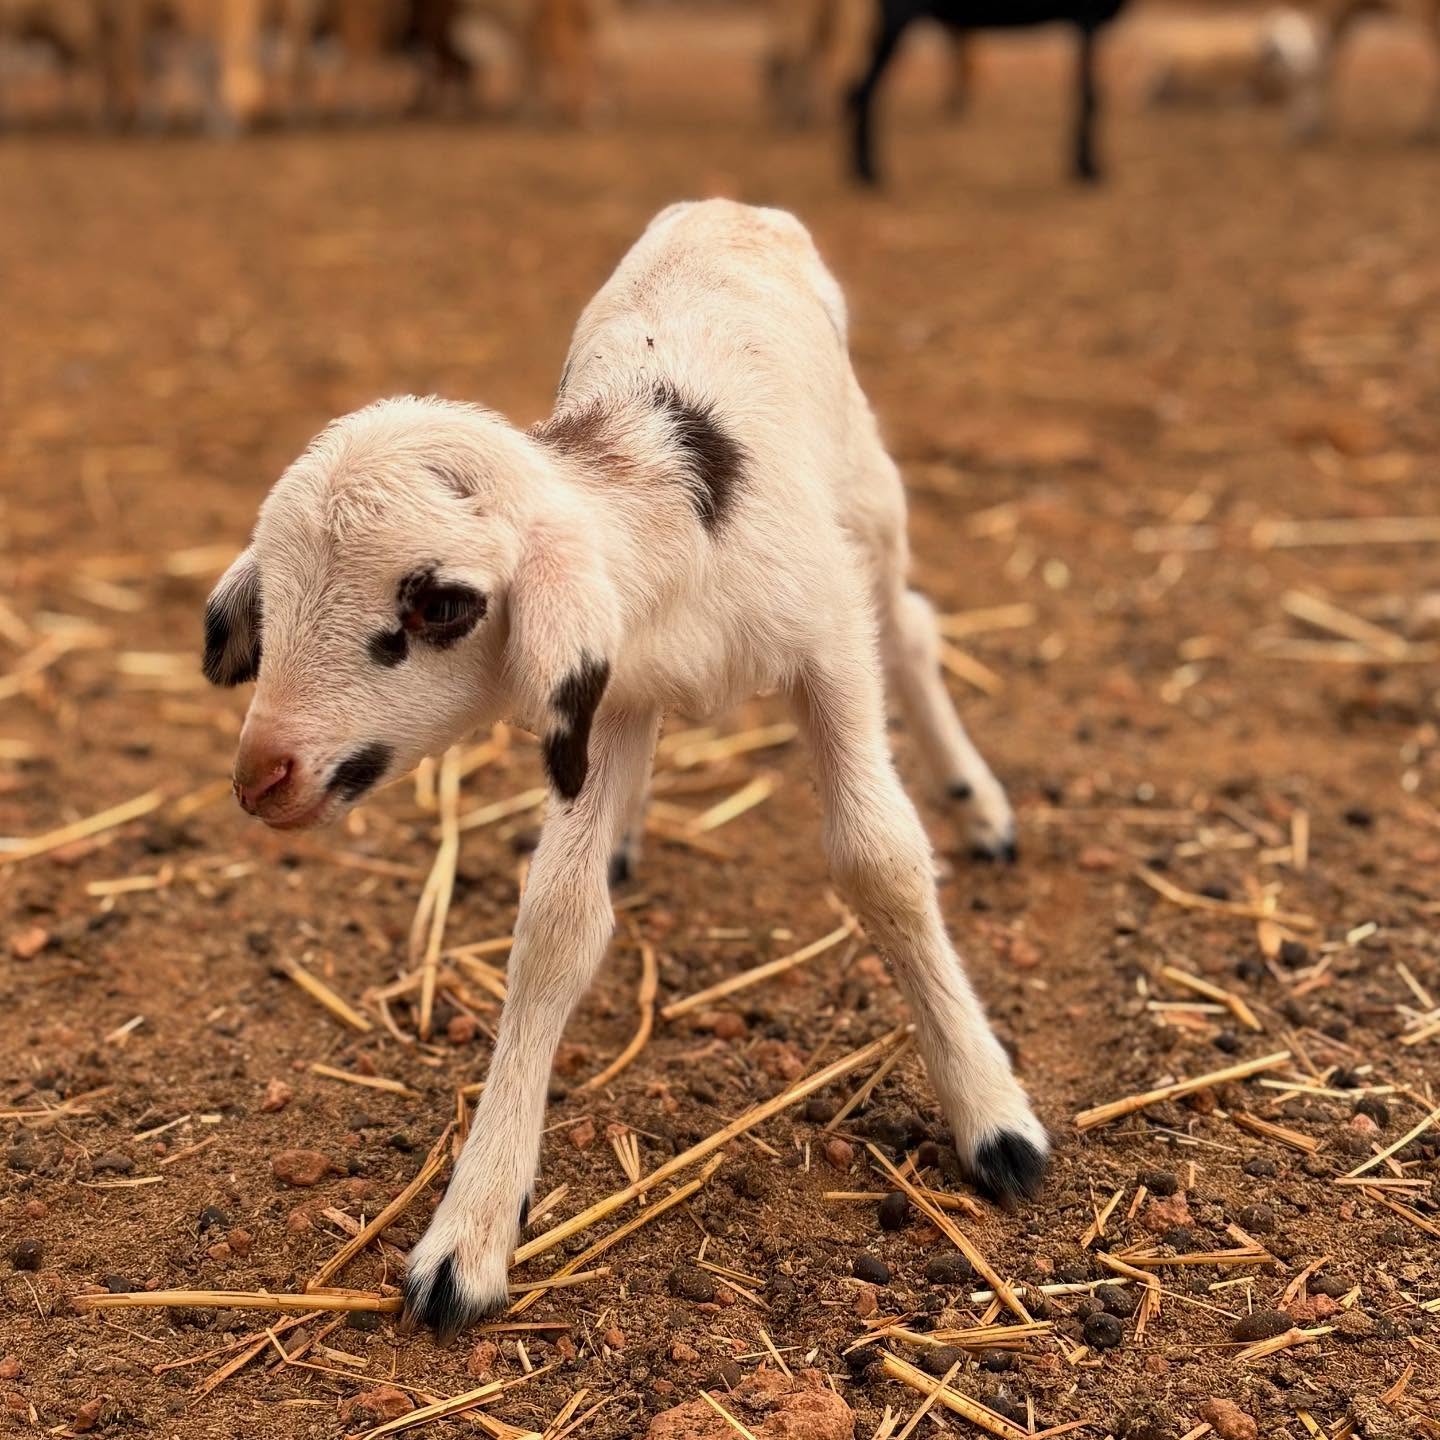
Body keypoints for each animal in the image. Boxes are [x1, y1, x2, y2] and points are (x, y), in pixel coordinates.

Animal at [203, 198, 1048, 1338]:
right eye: (275, 601)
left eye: (442, 605)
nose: (263, 774)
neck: (665, 518)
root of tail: (735, 208)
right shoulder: (599, 691)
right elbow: (559, 925)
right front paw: (472, 1231)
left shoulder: (827, 639)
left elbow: (881, 863)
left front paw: (992, 1116)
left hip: (871, 500)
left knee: (911, 624)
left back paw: (978, 804)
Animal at [846, 0, 1129, 185]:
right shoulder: (1088, 18)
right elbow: (1090, 94)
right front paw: (1087, 167)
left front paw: (1082, 164)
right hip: (897, 17)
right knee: (862, 92)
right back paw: (868, 172)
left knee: (854, 91)